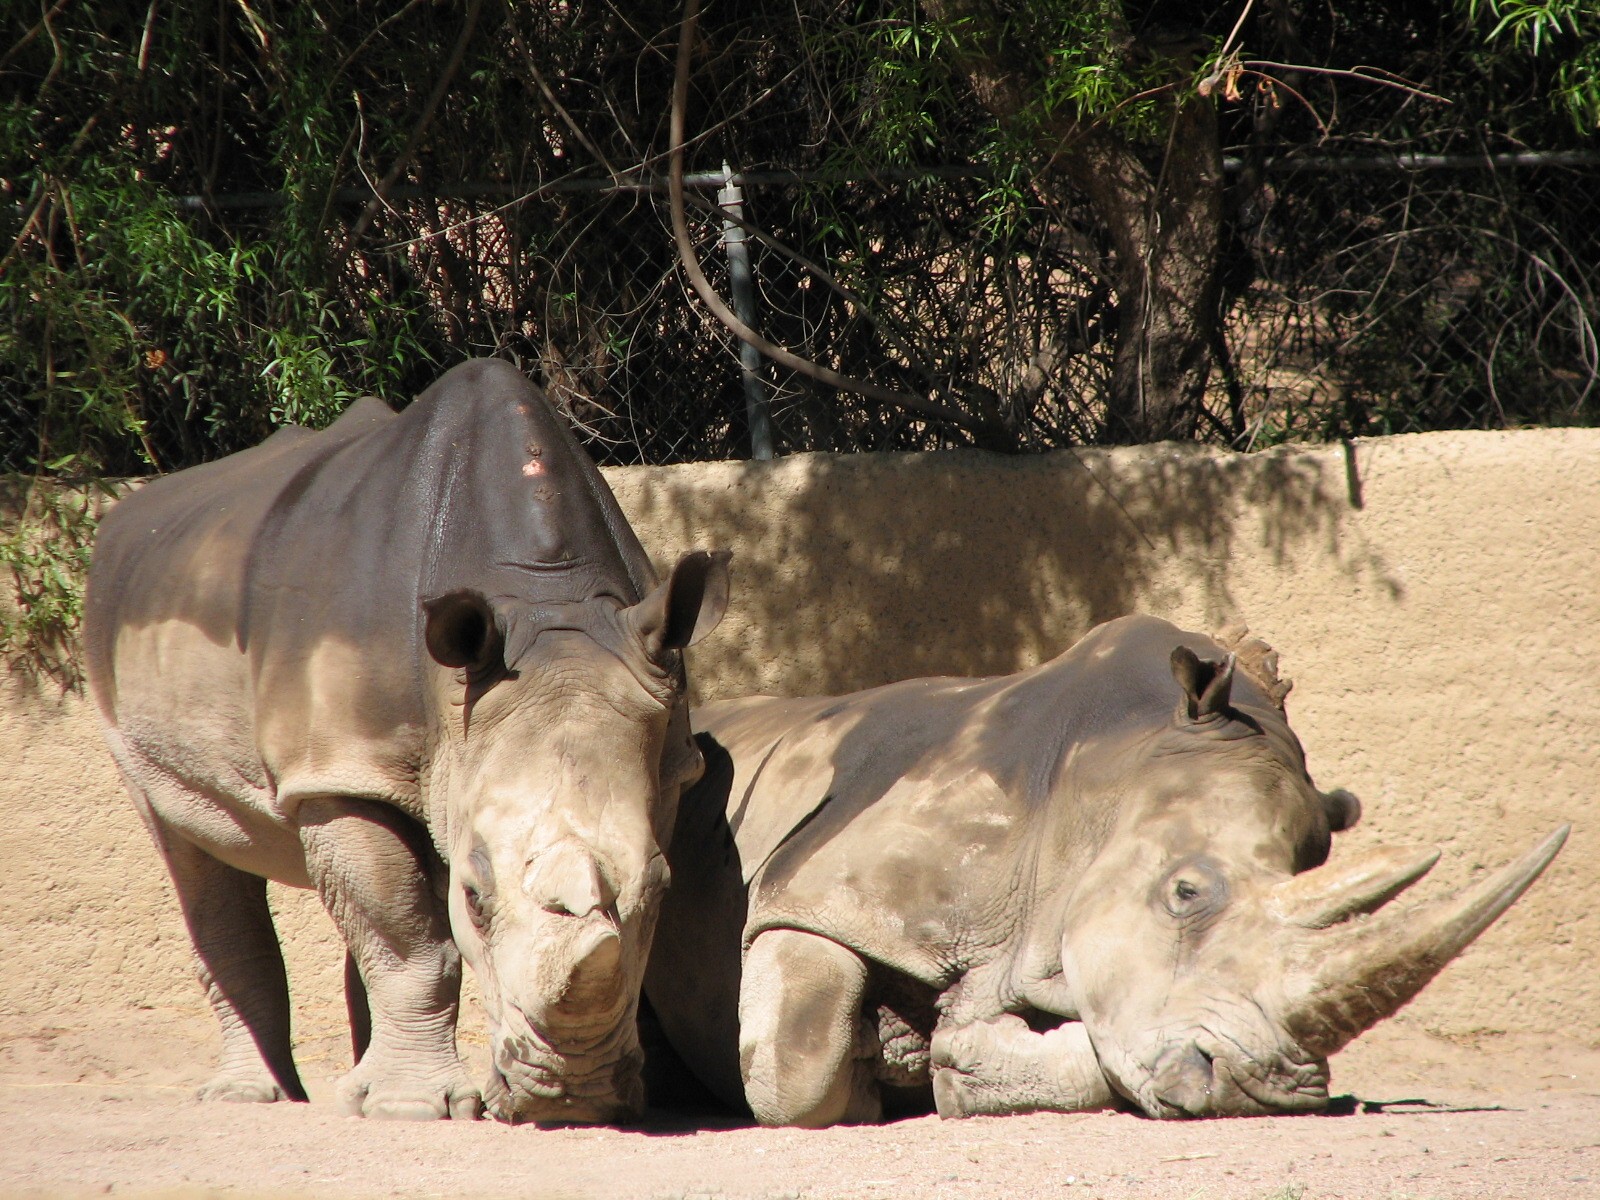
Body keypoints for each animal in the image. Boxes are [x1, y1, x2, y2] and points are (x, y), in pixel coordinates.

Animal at [84, 359, 730, 1122]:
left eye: (663, 888)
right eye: (476, 896)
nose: (571, 1096)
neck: (547, 605)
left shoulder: (665, 763)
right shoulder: (342, 769)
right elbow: (409, 941)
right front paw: (413, 1108)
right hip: (134, 674)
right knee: (187, 839)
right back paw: (252, 1098)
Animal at [644, 614, 1568, 1126]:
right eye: (1185, 893)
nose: (1258, 1086)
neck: (1104, 777)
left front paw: (946, 1056)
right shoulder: (817, 892)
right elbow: (798, 1061)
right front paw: (883, 1076)